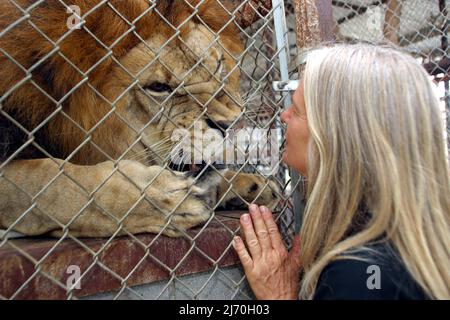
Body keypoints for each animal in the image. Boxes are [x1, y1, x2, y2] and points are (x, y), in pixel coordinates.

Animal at [0, 0, 280, 238]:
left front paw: (250, 185)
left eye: (219, 64)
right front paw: (166, 197)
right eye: (158, 87)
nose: (232, 125)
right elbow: (52, 181)